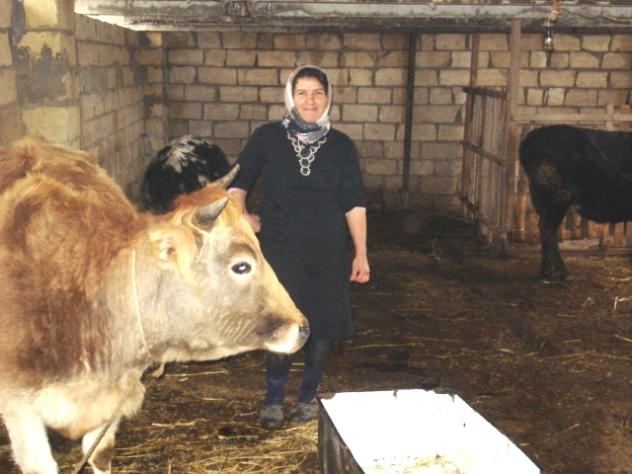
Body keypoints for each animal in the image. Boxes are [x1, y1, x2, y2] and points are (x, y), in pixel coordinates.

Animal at [519, 124, 632, 280]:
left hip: (542, 201)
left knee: (543, 230)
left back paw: (546, 271)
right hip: (557, 199)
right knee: (548, 232)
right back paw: (562, 272)